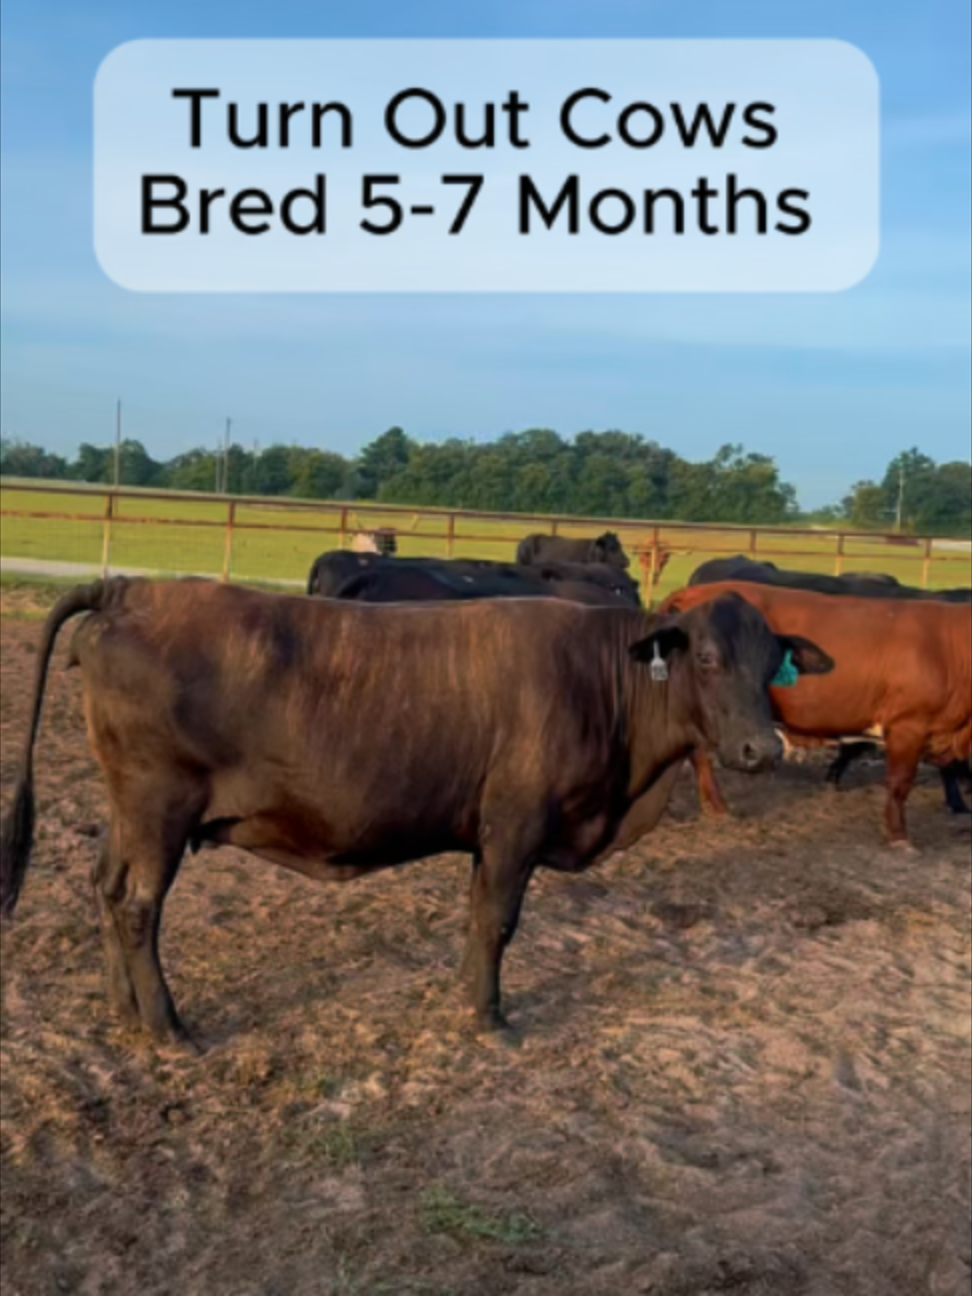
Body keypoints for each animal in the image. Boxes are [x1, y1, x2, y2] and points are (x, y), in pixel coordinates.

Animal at [0, 578, 831, 1047]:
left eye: (773, 665)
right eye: (708, 659)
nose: (763, 749)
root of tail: (129, 589)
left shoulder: (492, 835)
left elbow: (476, 917)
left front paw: (468, 999)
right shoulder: (516, 824)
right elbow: (498, 921)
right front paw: (491, 1019)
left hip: (129, 810)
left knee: (105, 887)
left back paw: (123, 1007)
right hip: (159, 807)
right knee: (138, 907)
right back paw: (169, 1027)